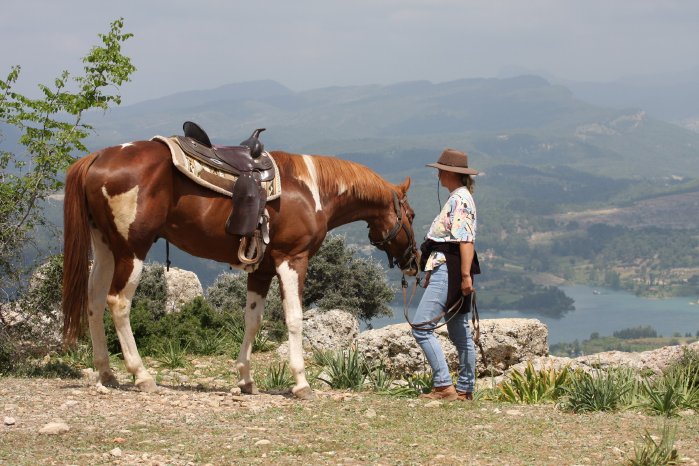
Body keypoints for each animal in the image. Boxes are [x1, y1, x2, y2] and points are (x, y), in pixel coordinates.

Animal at [63, 139, 418, 400]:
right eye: (412, 215)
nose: (414, 261)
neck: (313, 190)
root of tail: (97, 157)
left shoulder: (261, 269)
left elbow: (252, 321)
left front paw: (246, 379)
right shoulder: (293, 259)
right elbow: (294, 318)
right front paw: (301, 383)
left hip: (106, 247)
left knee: (94, 301)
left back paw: (106, 372)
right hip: (132, 249)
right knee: (118, 302)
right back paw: (141, 375)